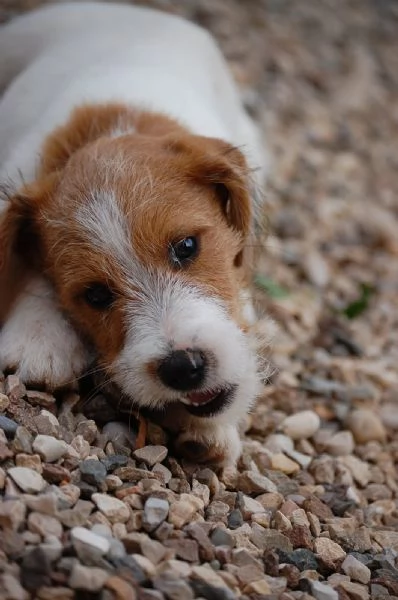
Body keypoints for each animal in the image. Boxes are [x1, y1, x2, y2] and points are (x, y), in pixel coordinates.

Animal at [0, 2, 270, 466]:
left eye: (186, 247)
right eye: (96, 295)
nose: (183, 367)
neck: (114, 126)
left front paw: (214, 429)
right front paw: (37, 334)